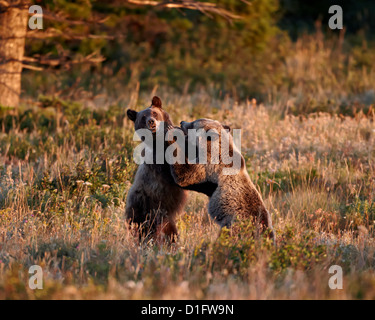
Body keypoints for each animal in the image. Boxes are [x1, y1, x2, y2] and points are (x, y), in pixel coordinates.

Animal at [125, 96, 216, 241]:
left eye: (154, 113)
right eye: (143, 117)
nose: (151, 121)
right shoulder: (160, 166)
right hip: (145, 207)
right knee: (145, 229)